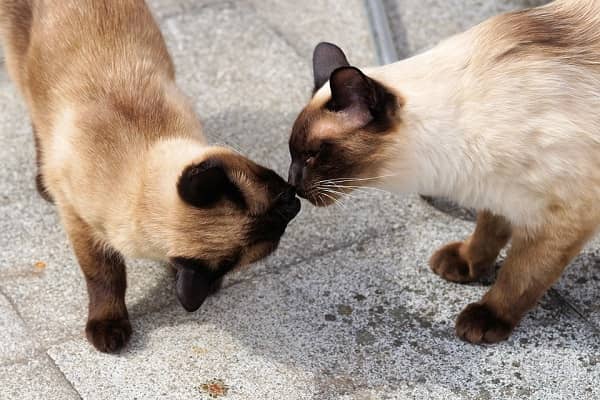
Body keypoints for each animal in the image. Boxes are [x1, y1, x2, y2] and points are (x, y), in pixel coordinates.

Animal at [0, 0, 300, 352]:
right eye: (280, 222)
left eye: (282, 205)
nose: (296, 202)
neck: (136, 182)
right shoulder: (80, 224)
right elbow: (105, 277)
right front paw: (108, 327)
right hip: (21, 69)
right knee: (36, 118)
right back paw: (43, 182)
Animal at [288, 0, 596, 344]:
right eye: (293, 153)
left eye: (312, 155)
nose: (291, 182)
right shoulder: (497, 191)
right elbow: (487, 232)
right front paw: (468, 263)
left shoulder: (562, 216)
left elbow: (520, 275)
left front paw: (488, 316)